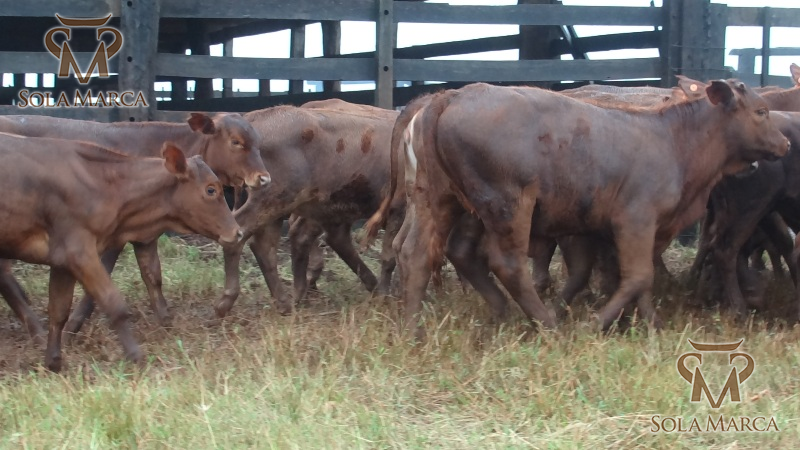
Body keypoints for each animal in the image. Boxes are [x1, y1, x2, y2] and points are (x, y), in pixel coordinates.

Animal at [0, 113, 269, 337]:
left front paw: (166, 323)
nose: (264, 178)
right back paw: (36, 329)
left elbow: (153, 276)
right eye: (236, 142)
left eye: (257, 142)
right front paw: (74, 324)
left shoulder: (145, 236)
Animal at [210, 104, 398, 320]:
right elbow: (391, 256)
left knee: (271, 245)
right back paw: (227, 302)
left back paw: (287, 300)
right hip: (276, 201)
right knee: (243, 235)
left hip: (291, 207)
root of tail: (253, 120)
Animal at [392, 80, 788, 336]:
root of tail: (449, 96)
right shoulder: (635, 219)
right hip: (507, 203)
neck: (674, 140)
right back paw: (548, 325)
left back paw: (416, 330)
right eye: (761, 111)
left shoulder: (611, 229)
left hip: (439, 199)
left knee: (420, 253)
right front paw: (596, 323)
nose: (785, 143)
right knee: (506, 264)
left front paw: (649, 325)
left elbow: (628, 275)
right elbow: (638, 276)